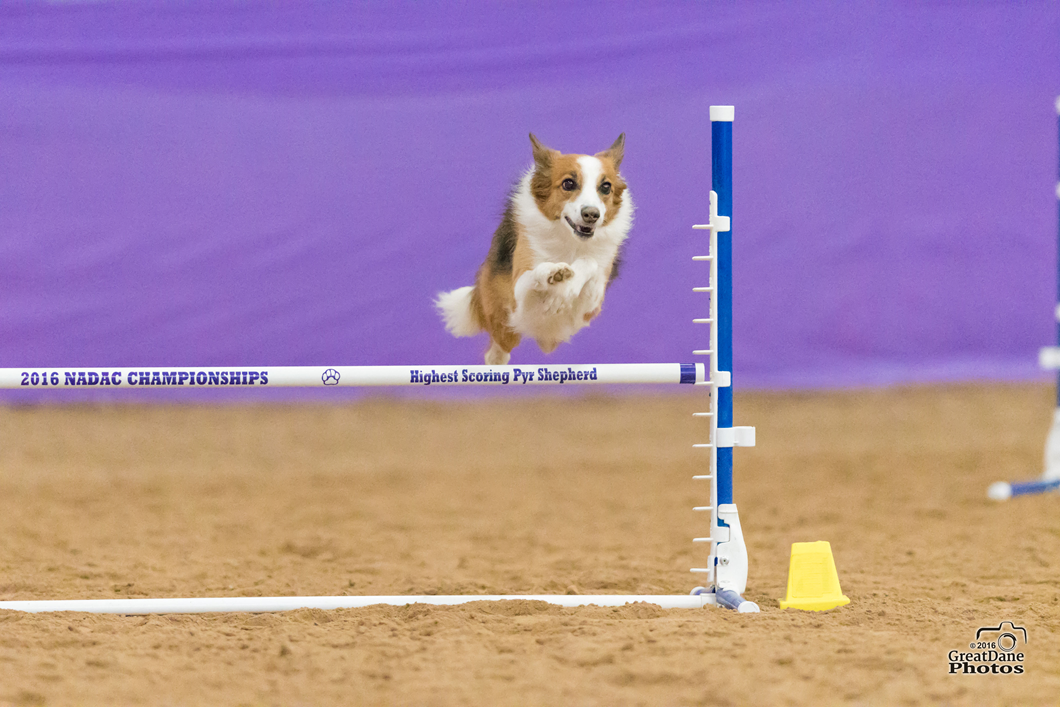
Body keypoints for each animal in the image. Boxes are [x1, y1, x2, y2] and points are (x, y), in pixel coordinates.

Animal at [434, 134, 631, 364]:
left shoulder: (591, 304)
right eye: (568, 183)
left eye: (606, 187)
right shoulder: (519, 299)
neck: (570, 242)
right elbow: (534, 274)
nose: (591, 214)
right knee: (496, 352)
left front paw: (564, 289)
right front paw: (553, 274)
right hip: (505, 324)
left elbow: (588, 263)